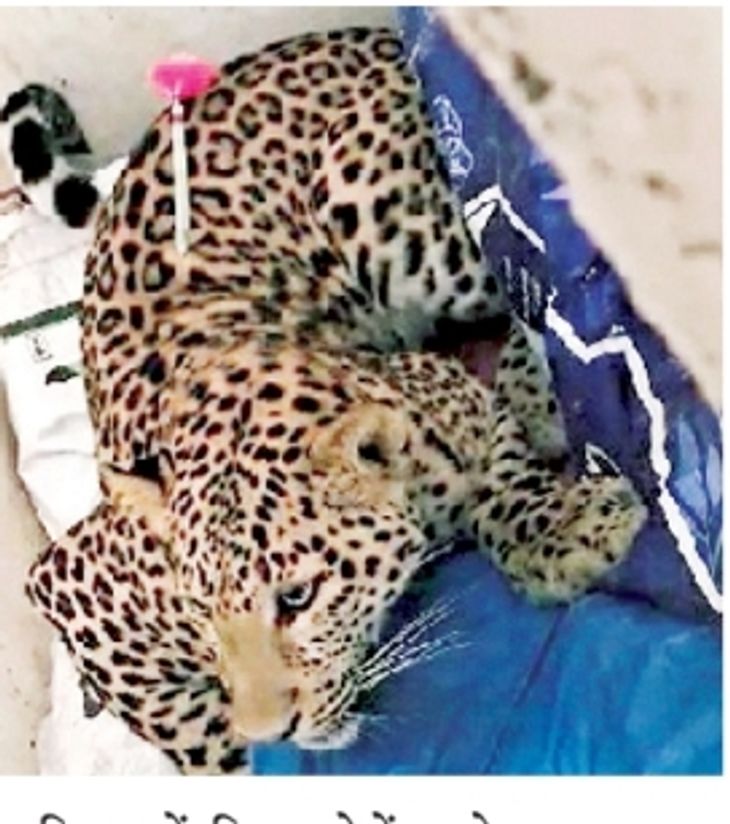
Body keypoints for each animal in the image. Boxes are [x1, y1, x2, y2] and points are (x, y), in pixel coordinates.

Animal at [1, 27, 647, 774]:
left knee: (506, 271)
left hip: (391, 221)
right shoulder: (69, 580)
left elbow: (498, 469)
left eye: (297, 597)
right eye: (201, 612)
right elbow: (191, 734)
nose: (272, 731)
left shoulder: (440, 397)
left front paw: (564, 528)